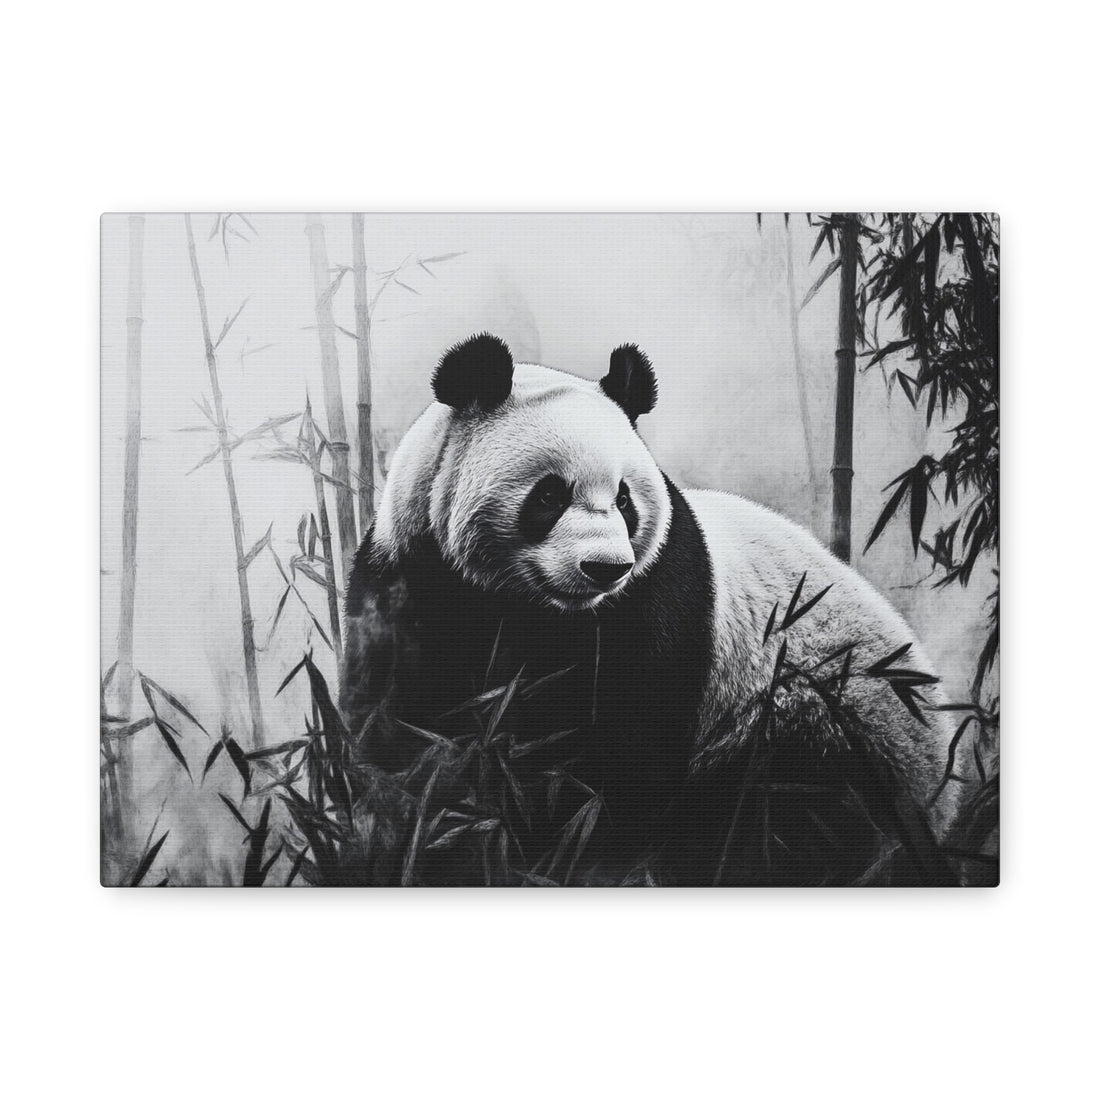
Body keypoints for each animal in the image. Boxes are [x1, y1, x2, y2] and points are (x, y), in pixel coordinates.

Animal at [340, 333, 959, 885]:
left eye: (623, 499)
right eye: (549, 495)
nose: (604, 568)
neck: (537, 608)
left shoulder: (657, 598)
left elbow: (629, 749)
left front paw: (569, 844)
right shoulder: (410, 582)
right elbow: (400, 729)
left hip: (816, 723)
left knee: (784, 823)